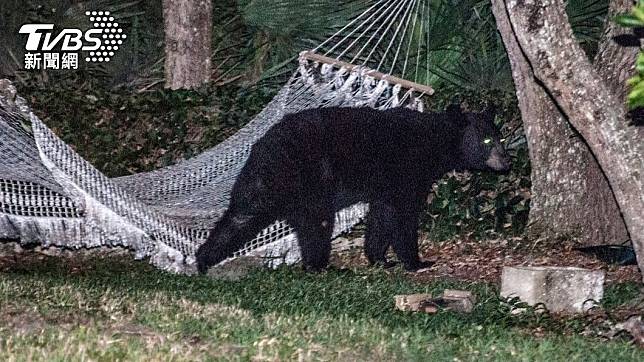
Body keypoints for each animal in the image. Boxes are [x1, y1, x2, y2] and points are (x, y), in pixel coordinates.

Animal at [195, 106, 508, 272]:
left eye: (499, 137)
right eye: (487, 141)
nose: (507, 161)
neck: (436, 141)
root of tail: (263, 148)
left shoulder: (386, 186)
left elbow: (382, 216)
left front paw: (380, 259)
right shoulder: (407, 172)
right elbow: (404, 216)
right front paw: (417, 262)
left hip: (259, 184)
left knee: (239, 217)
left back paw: (202, 261)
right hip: (311, 181)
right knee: (317, 224)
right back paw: (323, 266)